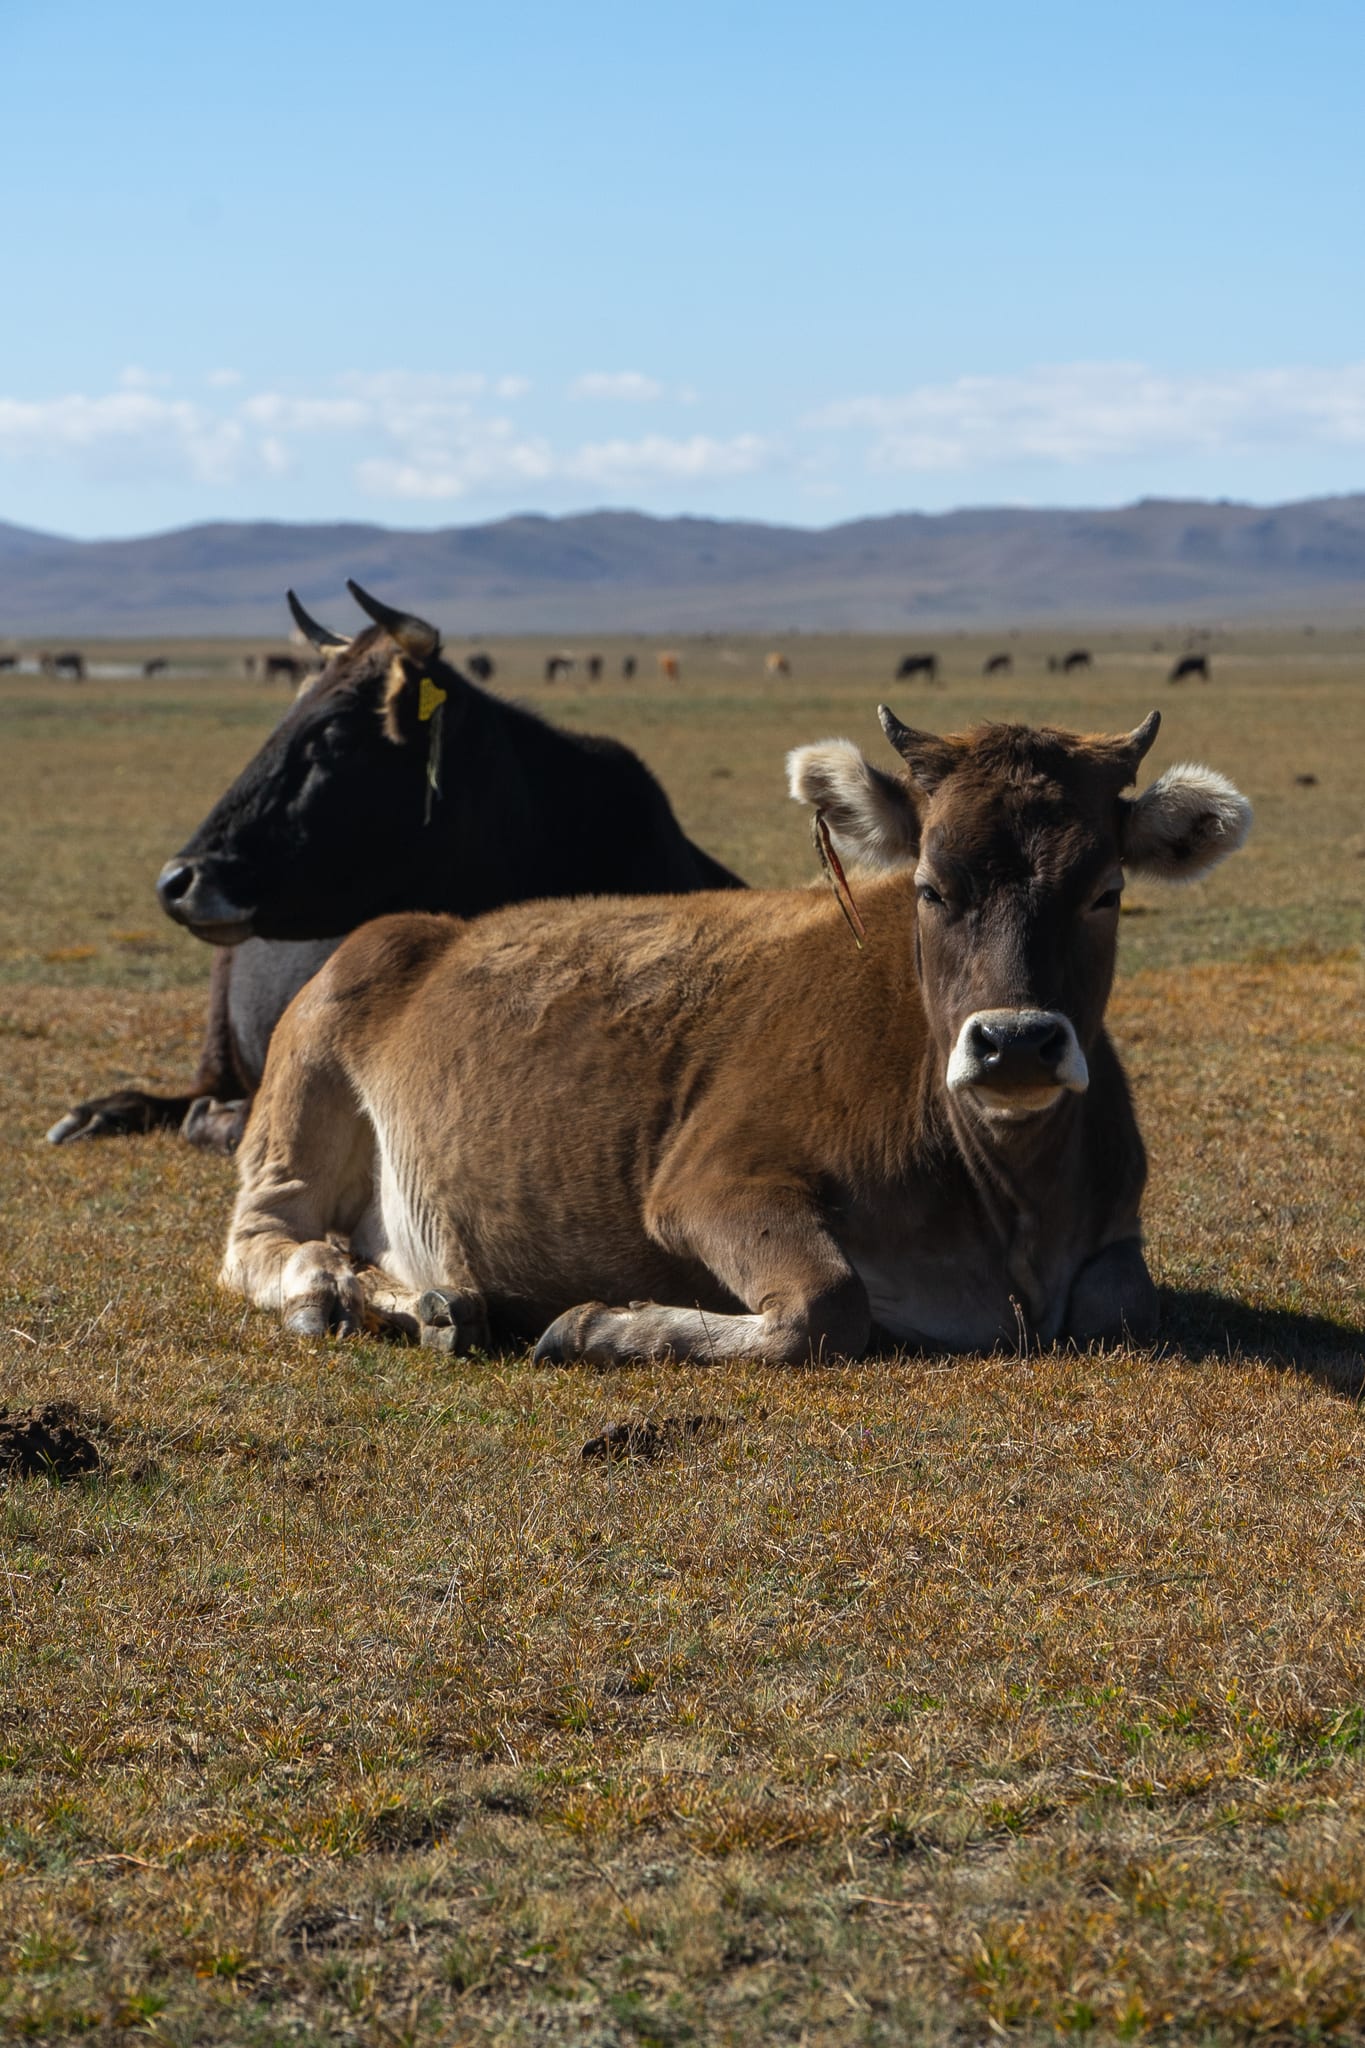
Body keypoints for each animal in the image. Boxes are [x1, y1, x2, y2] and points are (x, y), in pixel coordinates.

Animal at [219, 707, 1251, 1361]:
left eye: (1105, 892)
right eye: (929, 886)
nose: (1017, 1042)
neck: (1005, 1202)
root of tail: (427, 928)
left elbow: (1127, 1306)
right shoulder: (705, 1183)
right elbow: (827, 1309)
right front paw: (606, 1326)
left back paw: (430, 1303)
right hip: (298, 1103)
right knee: (261, 1242)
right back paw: (326, 1288)